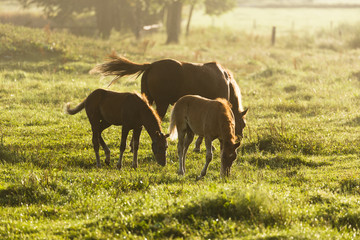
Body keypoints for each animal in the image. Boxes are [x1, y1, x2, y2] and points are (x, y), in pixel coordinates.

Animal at [90, 54, 248, 151]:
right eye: (242, 124)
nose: (238, 139)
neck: (225, 80)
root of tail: (151, 66)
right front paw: (201, 146)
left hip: (148, 100)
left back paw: (132, 144)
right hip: (162, 103)